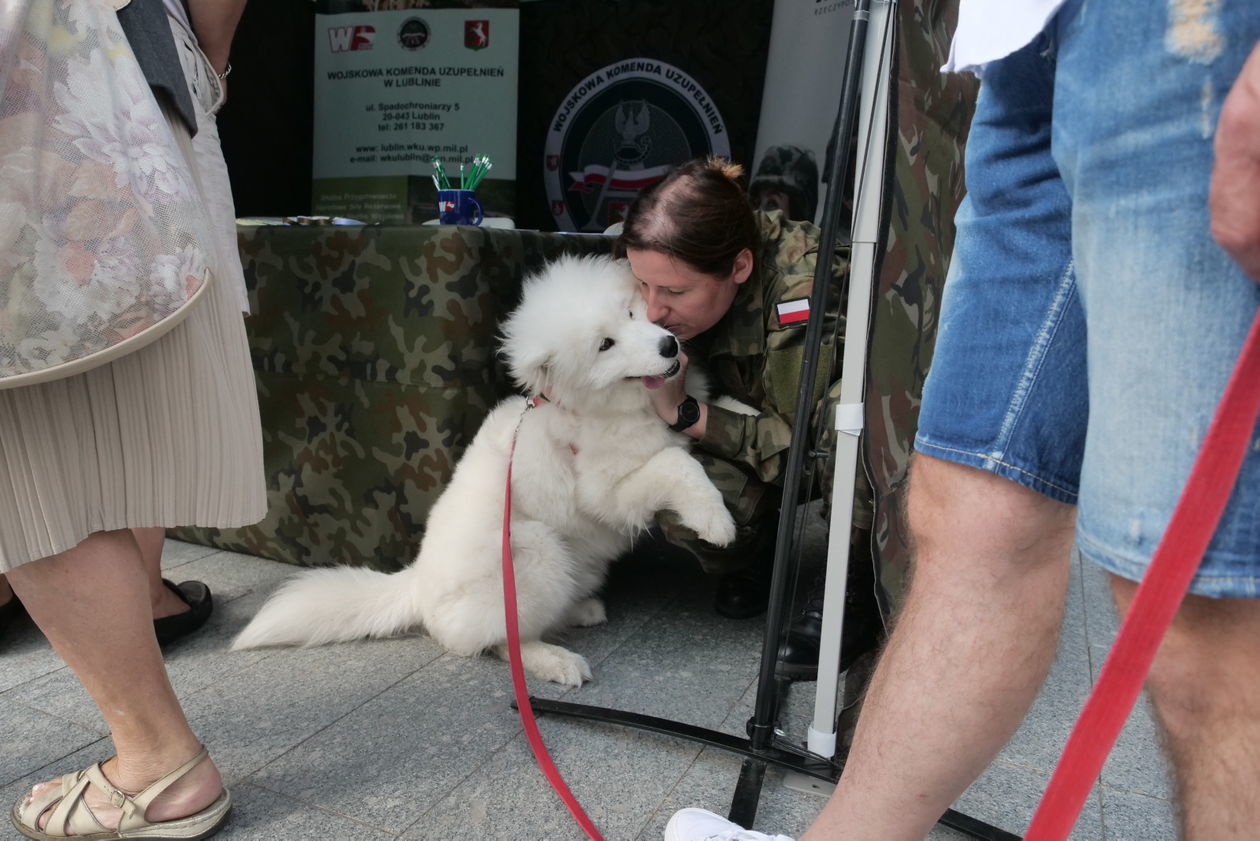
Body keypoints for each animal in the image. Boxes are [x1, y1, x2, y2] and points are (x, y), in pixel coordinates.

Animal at [230, 253, 735, 685]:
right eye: (605, 345)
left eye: (631, 314)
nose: (669, 345)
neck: (610, 407)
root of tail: (415, 583)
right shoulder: (606, 494)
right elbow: (676, 464)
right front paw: (717, 523)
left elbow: (719, 412)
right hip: (535, 549)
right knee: (500, 640)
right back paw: (557, 660)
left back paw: (580, 610)